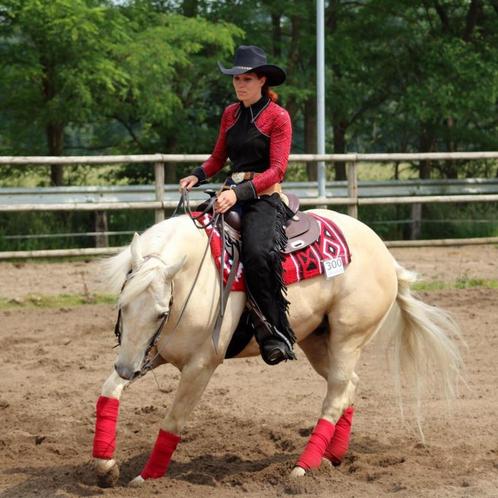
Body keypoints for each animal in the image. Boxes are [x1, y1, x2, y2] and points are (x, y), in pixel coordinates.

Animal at [90, 206, 462, 486]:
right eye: (123, 304)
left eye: (161, 312)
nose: (127, 368)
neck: (195, 277)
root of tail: (385, 253)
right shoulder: (150, 352)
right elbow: (108, 390)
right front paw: (105, 466)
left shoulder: (200, 365)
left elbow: (173, 421)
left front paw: (147, 478)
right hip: (317, 340)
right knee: (348, 388)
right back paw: (332, 456)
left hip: (348, 338)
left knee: (336, 394)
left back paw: (303, 467)